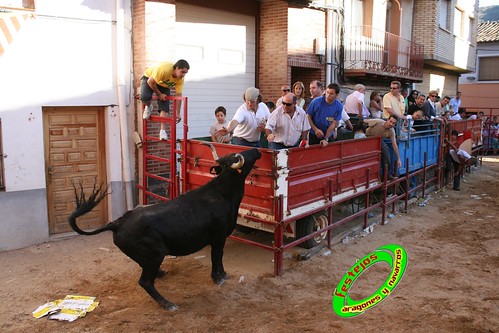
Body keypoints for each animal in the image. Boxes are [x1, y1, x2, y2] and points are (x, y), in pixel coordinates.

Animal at [69, 145, 264, 308]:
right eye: (243, 157)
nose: (256, 150)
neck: (223, 193)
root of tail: (117, 223)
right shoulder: (218, 236)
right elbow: (216, 257)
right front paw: (217, 278)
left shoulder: (221, 237)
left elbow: (220, 257)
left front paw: (223, 274)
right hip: (155, 253)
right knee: (145, 282)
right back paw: (167, 304)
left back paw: (161, 274)